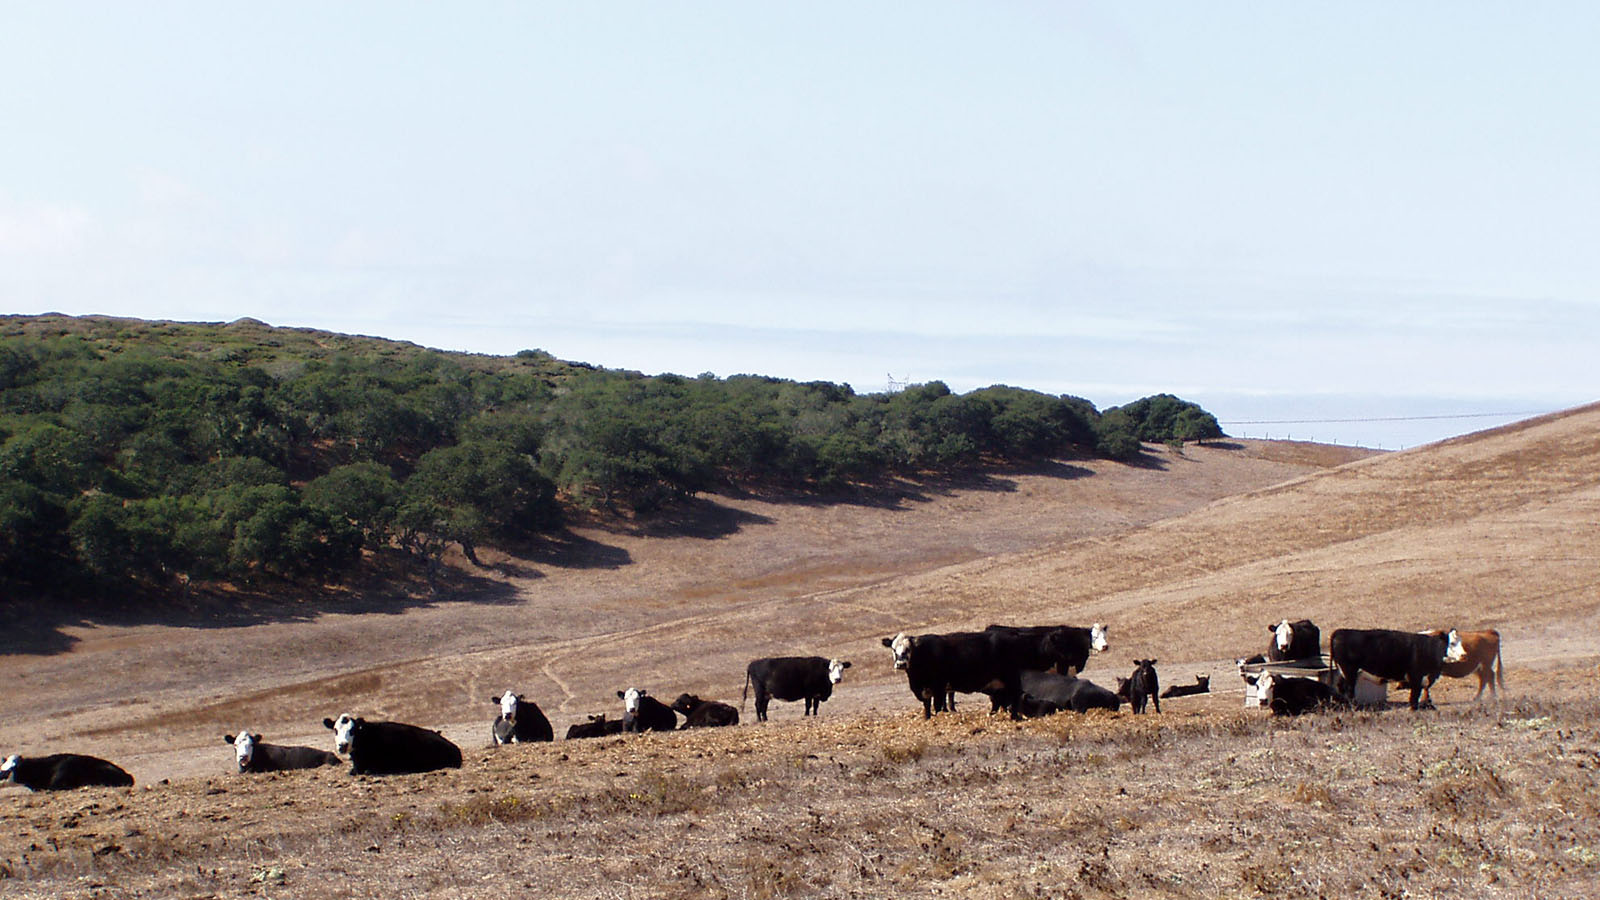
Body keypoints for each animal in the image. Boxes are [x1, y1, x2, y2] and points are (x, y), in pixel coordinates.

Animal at [1324, 627, 1465, 711]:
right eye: (1452, 643)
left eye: (1461, 642)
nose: (1464, 655)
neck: (1428, 648)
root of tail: (1340, 631)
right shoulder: (1415, 675)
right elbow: (1415, 694)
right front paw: (1413, 708)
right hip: (1349, 671)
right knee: (1349, 689)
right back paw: (1355, 707)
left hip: (1343, 671)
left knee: (1341, 687)